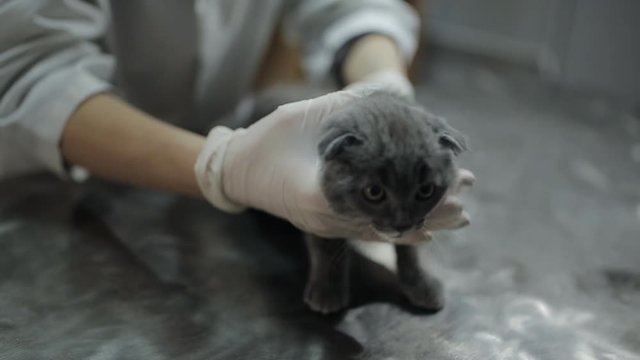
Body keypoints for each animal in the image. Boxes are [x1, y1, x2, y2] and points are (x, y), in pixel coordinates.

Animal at [232, 86, 468, 314]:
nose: (402, 224)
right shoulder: (317, 213)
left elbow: (410, 250)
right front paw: (327, 290)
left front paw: (420, 283)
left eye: (426, 190)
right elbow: (325, 247)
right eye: (374, 192)